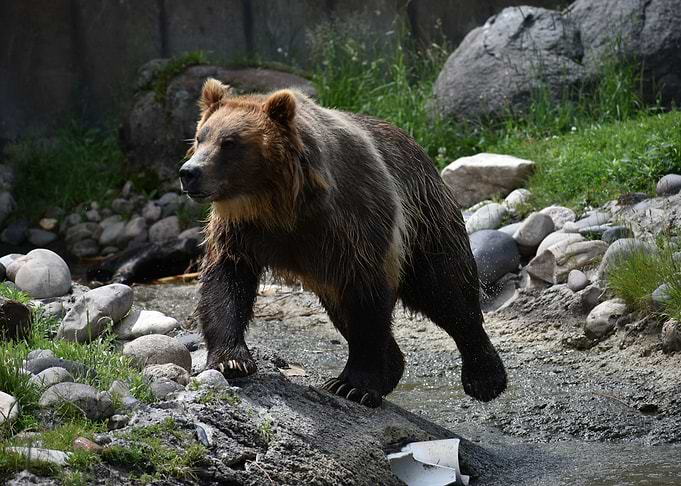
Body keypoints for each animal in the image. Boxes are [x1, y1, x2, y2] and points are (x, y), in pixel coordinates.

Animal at [180, 78, 507, 407]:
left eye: (230, 142)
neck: (281, 206)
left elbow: (367, 300)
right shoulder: (242, 232)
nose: (189, 172)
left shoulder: (354, 224)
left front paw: (353, 385)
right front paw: (231, 361)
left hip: (426, 221)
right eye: (201, 136)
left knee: (446, 289)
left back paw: (485, 377)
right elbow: (226, 282)